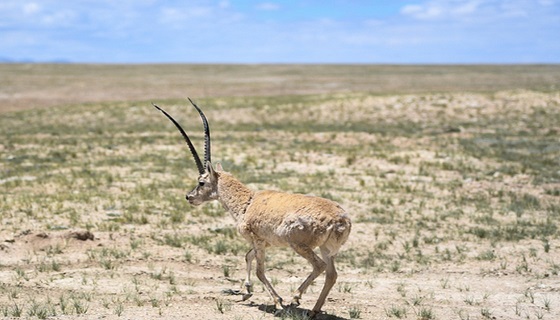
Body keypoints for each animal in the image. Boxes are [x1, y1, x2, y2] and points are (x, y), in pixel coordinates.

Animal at [153, 99, 350, 318]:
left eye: (201, 182)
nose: (189, 197)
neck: (248, 201)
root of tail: (341, 220)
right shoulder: (263, 242)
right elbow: (248, 256)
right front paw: (247, 292)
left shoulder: (258, 240)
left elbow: (259, 271)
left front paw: (278, 301)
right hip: (327, 249)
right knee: (332, 274)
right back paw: (314, 310)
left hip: (299, 245)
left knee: (319, 266)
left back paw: (295, 298)